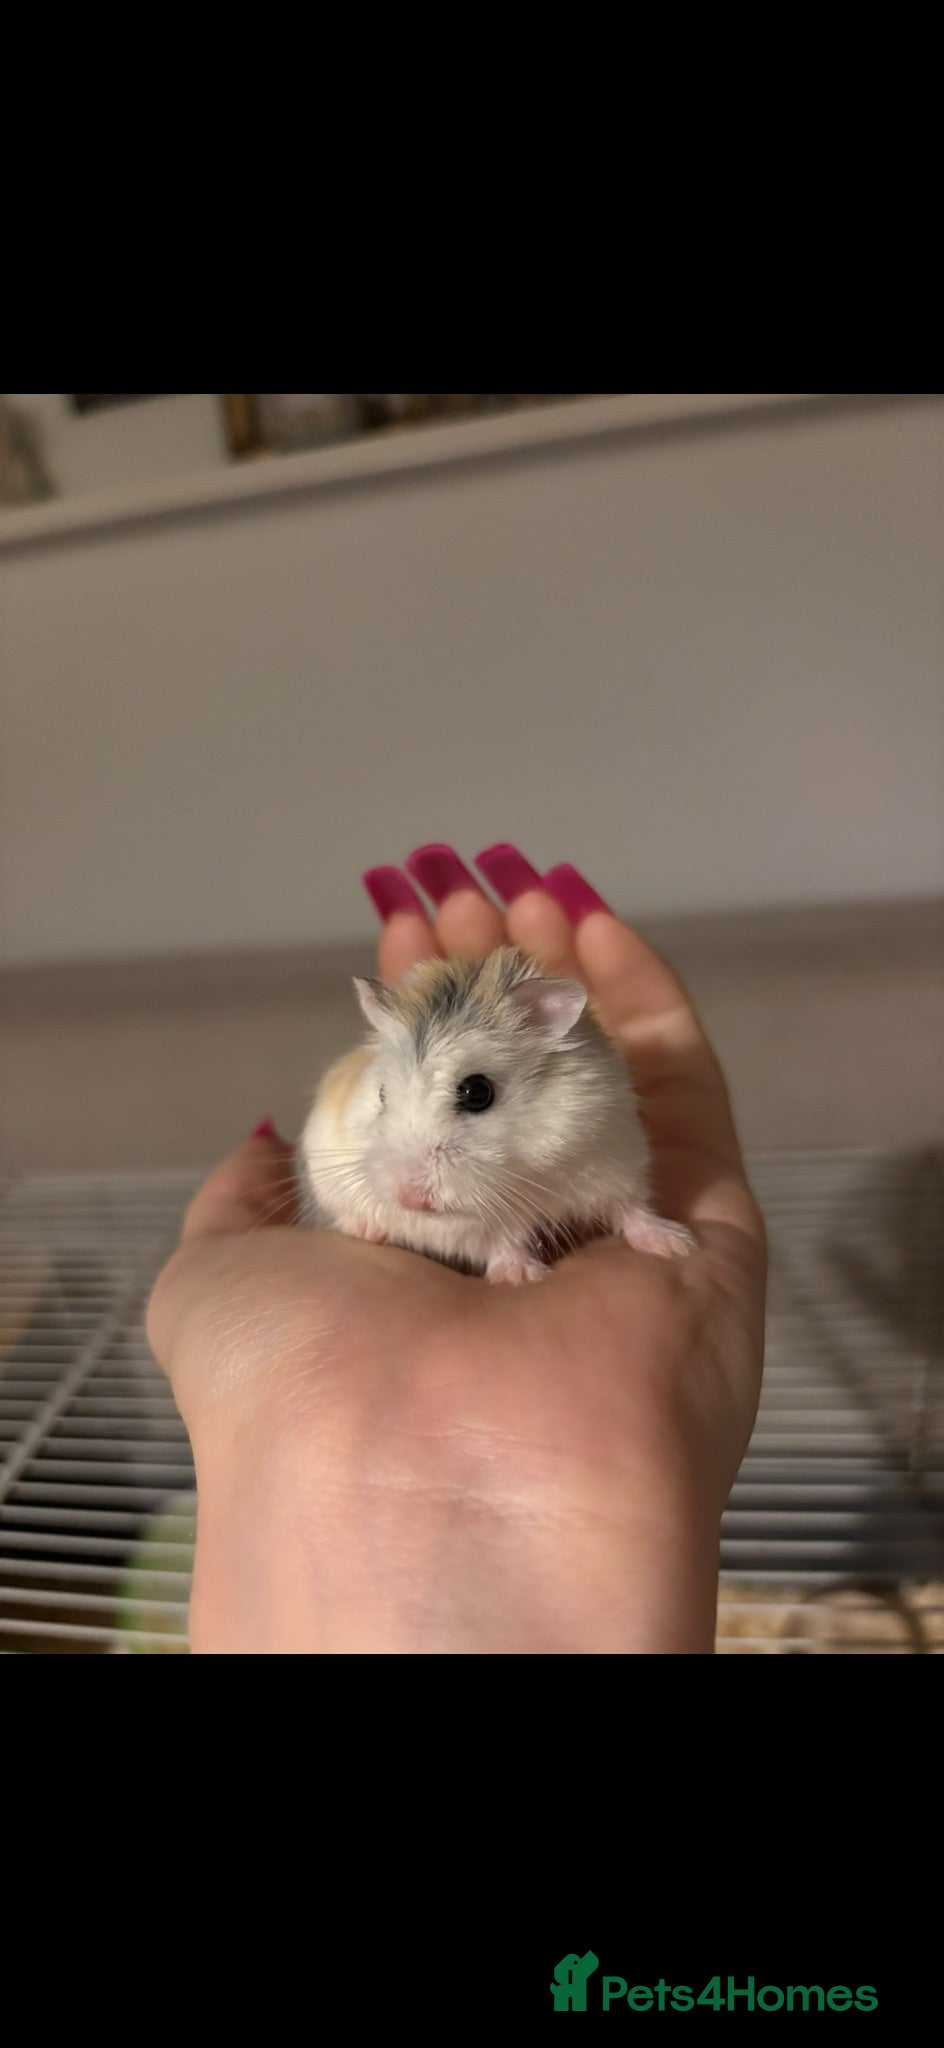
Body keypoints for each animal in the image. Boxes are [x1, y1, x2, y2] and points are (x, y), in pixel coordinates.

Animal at [298, 946, 695, 1284]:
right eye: (382, 1094)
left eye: (477, 1092)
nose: (409, 1198)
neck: (526, 1169)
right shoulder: (473, 1228)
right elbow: (501, 1241)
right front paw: (524, 1276)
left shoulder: (613, 1160)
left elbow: (632, 1209)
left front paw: (678, 1244)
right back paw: (367, 1228)